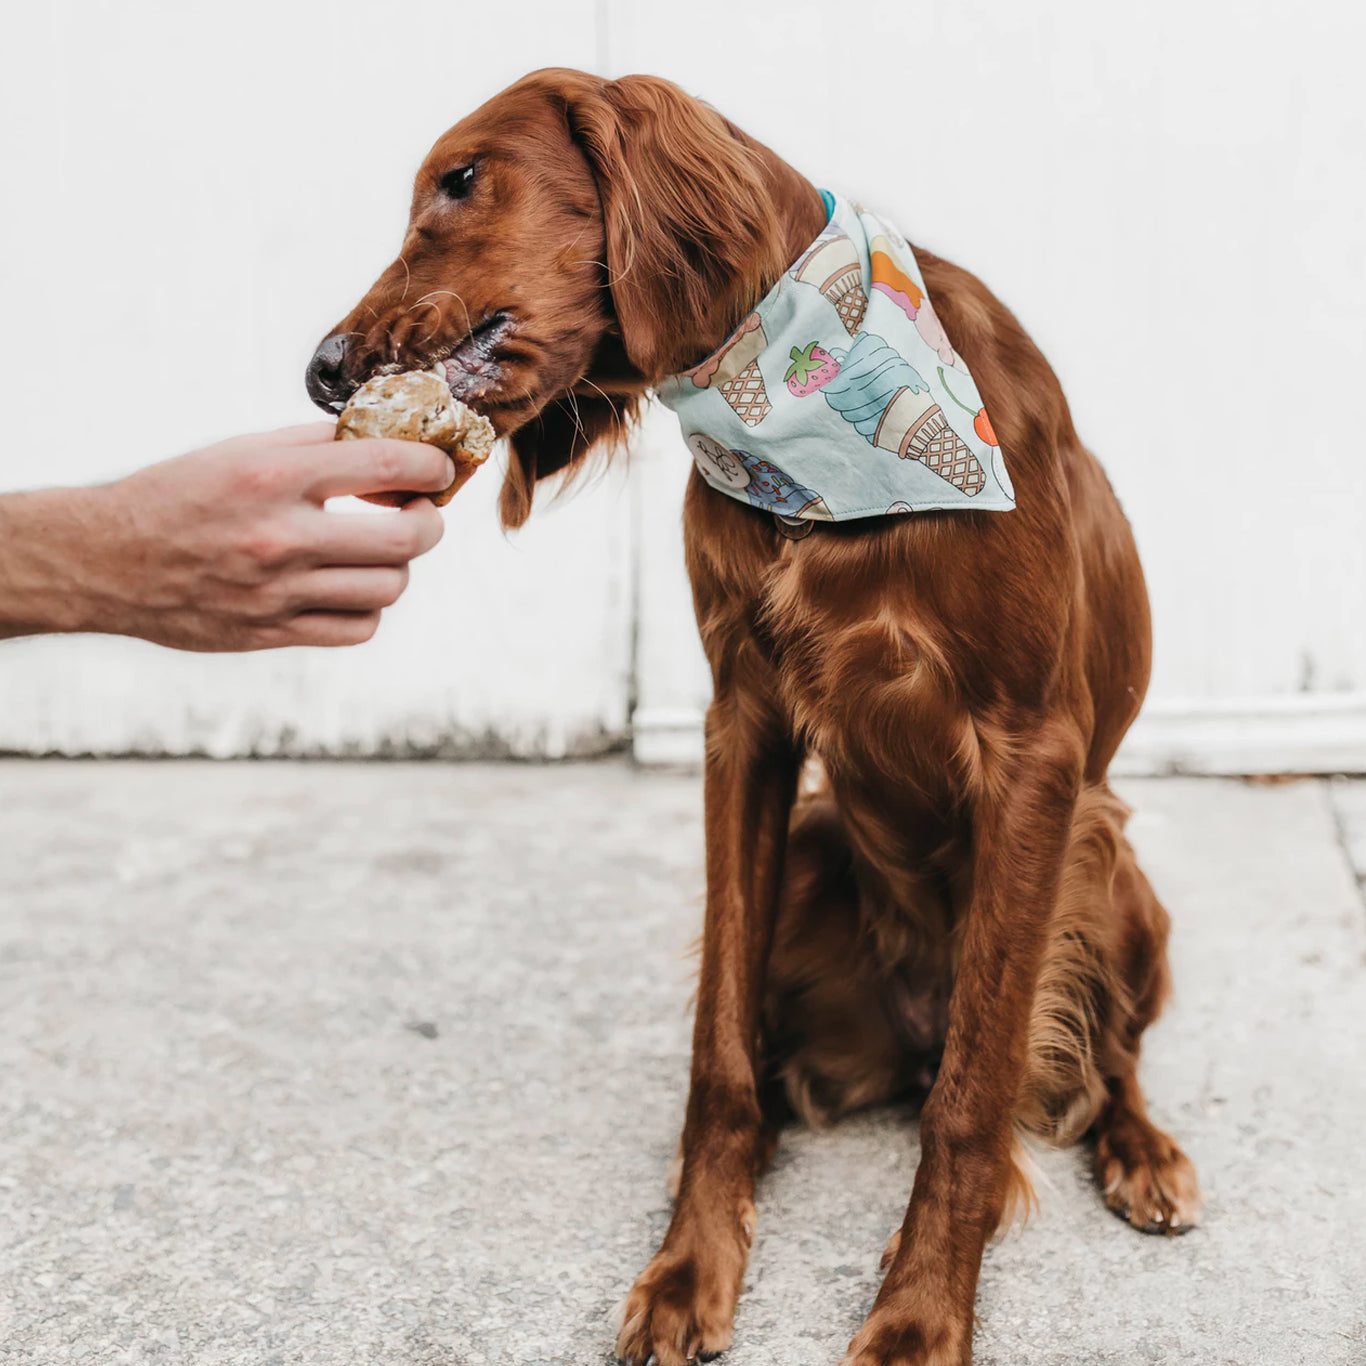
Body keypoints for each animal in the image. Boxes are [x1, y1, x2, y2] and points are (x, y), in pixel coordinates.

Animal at [307, 69, 1196, 1366]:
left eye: (461, 180)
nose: (323, 369)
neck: (805, 422)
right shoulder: (746, 723)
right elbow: (717, 1052)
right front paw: (689, 1264)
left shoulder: (1032, 750)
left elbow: (976, 1093)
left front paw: (919, 1311)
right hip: (823, 853)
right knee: (789, 1069)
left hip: (1111, 865)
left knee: (1095, 1064)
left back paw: (1144, 1153)